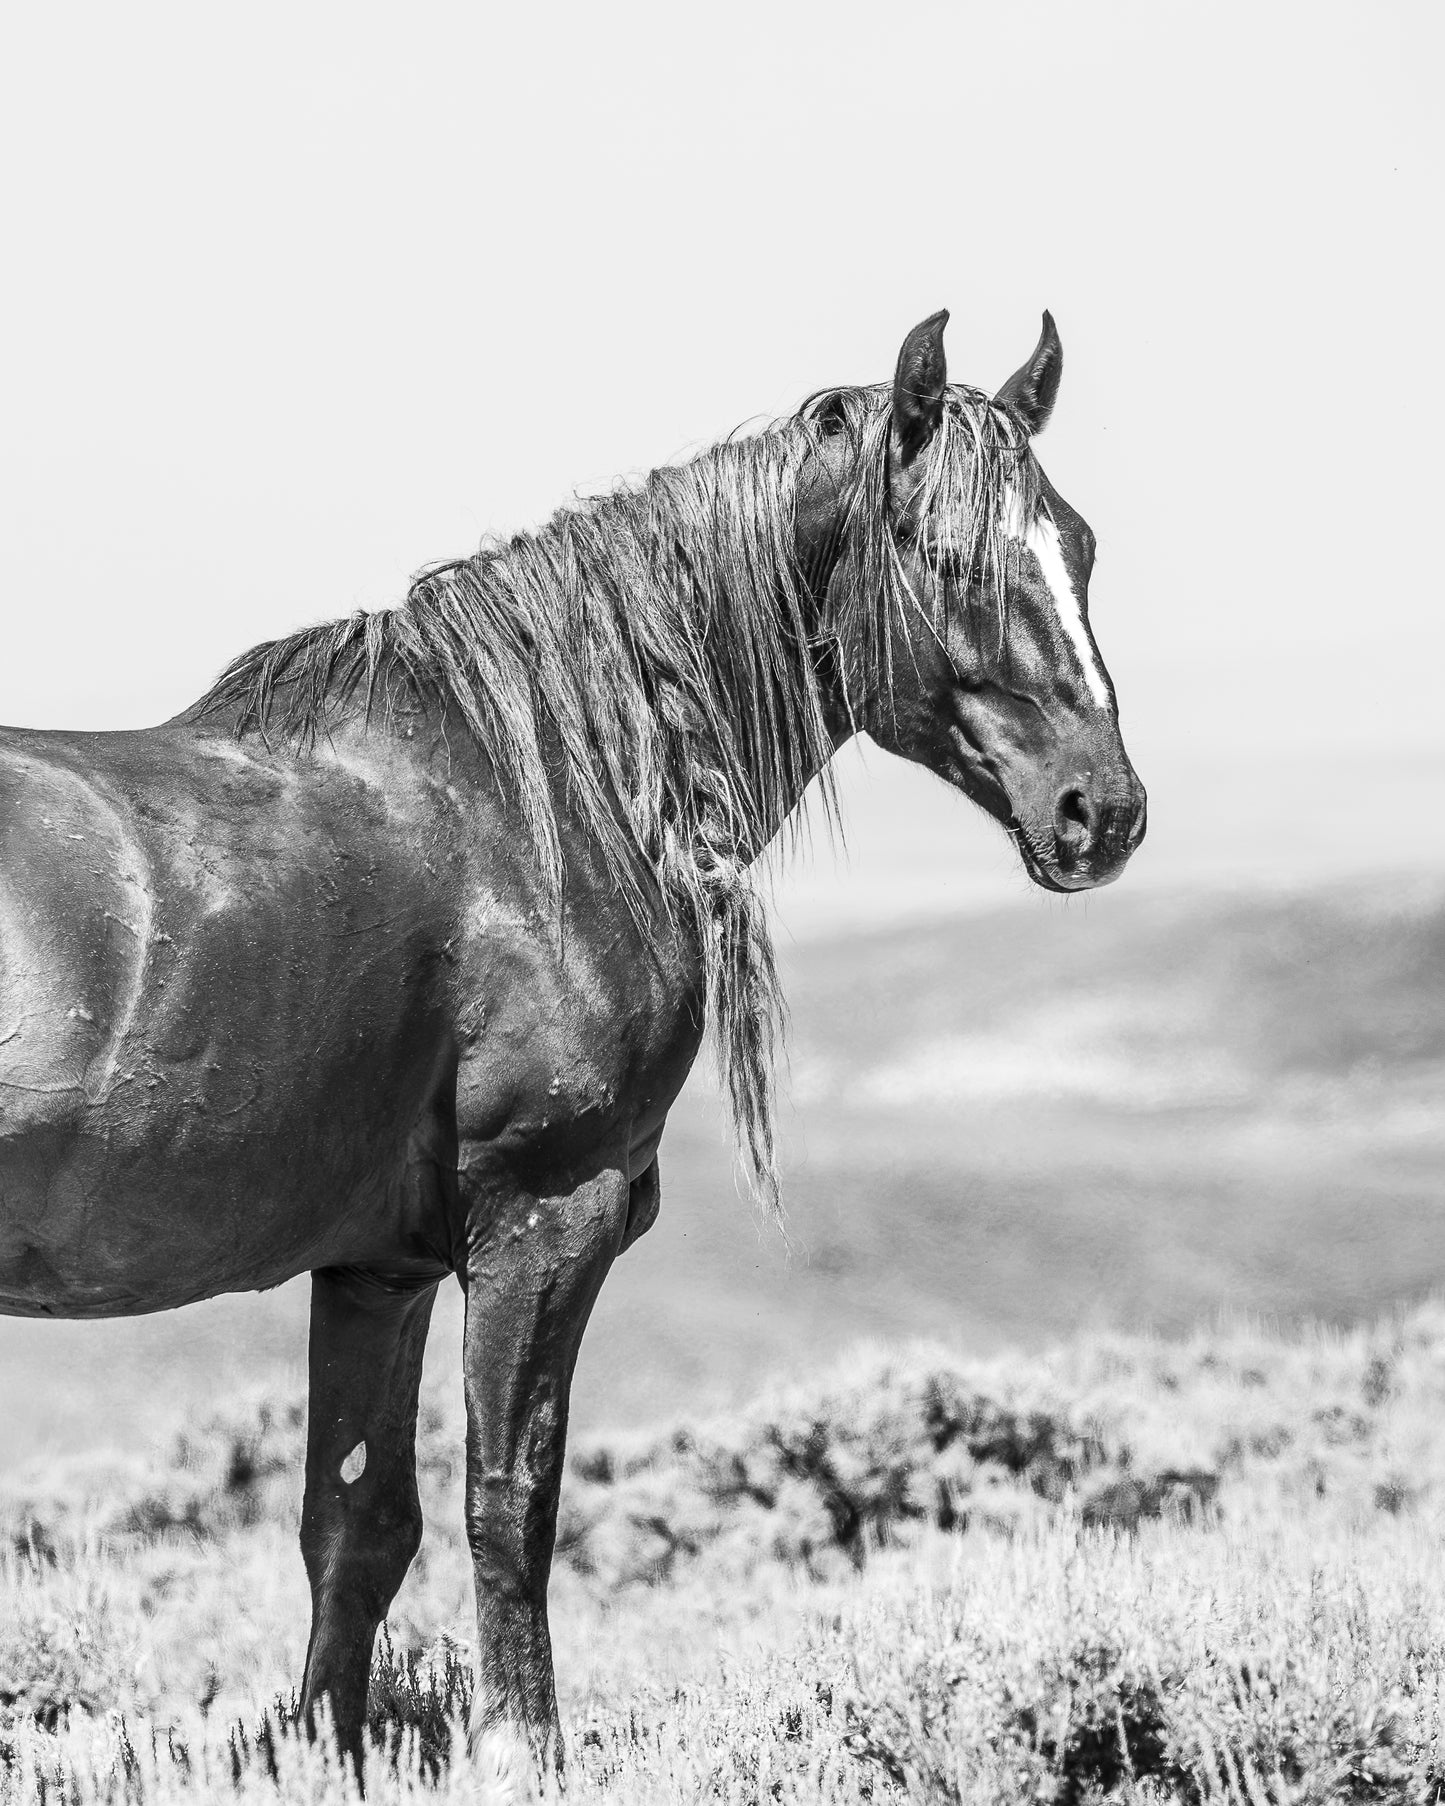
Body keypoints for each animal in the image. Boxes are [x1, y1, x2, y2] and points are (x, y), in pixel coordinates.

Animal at [0, 310, 1145, 1769]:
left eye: (1081, 545)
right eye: (946, 554)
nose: (1103, 813)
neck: (540, 794)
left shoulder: (377, 1268)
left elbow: (356, 1530)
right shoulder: (545, 1218)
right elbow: (511, 1503)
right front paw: (519, 1746)